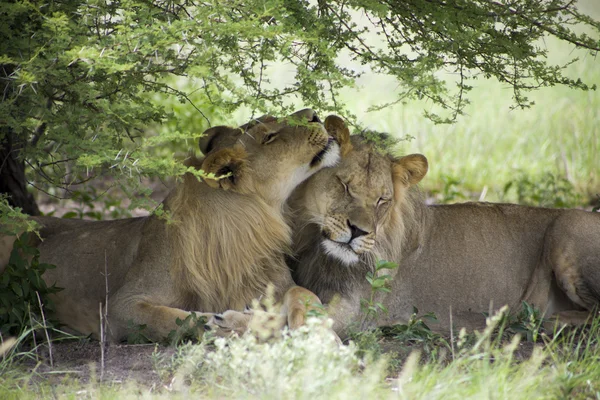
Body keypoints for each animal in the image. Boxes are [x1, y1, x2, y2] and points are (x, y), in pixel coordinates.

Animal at [1, 110, 346, 344]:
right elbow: (175, 318)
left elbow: (303, 292)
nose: (315, 115)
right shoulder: (119, 308)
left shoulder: (276, 283)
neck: (244, 226)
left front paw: (315, 331)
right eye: (269, 137)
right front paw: (231, 323)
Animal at [284, 118, 600, 338]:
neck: (319, 248)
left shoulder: (356, 312)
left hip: (568, 226)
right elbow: (298, 291)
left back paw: (552, 320)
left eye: (382, 200)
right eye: (345, 185)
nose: (358, 232)